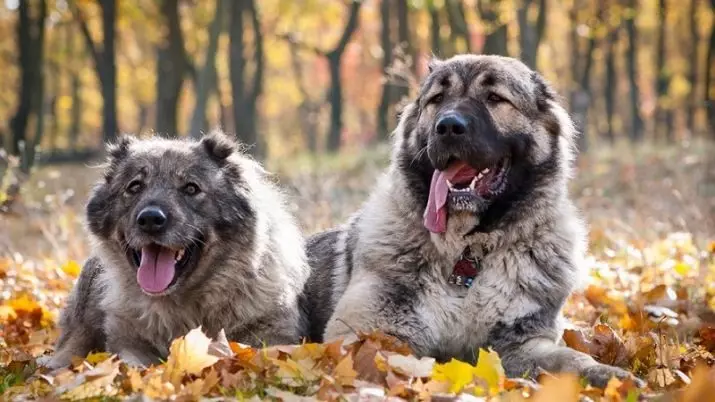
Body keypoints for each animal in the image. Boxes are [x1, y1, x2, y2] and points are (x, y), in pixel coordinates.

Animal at [43, 131, 310, 368]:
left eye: (191, 188)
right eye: (134, 187)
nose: (150, 219)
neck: (180, 310)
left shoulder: (268, 337)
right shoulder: (126, 341)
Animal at [304, 54, 640, 386]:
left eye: (494, 98)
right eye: (437, 99)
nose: (449, 127)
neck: (467, 250)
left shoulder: (523, 343)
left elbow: (570, 360)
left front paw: (610, 376)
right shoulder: (366, 333)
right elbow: (408, 362)